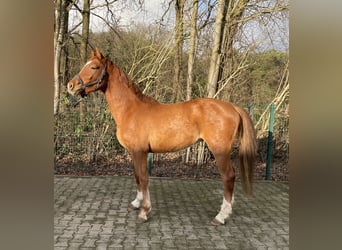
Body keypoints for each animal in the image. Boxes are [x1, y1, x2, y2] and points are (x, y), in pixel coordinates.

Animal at [67, 48, 255, 225]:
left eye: (94, 66)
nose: (70, 85)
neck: (130, 110)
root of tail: (232, 107)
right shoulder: (135, 152)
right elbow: (137, 176)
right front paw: (136, 203)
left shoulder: (140, 151)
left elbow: (143, 178)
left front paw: (144, 212)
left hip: (220, 150)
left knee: (228, 176)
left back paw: (221, 216)